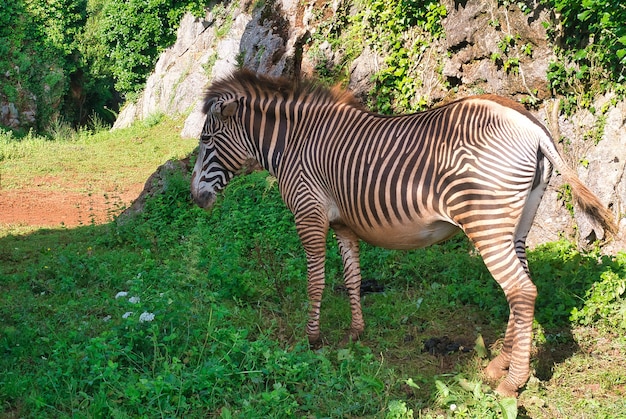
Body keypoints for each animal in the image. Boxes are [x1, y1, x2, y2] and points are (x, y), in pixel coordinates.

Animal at [189, 69, 616, 398]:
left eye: (206, 142)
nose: (195, 199)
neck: (293, 143)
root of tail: (528, 122)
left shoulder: (309, 213)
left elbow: (315, 281)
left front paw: (312, 340)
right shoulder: (343, 223)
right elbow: (352, 277)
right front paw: (355, 333)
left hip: (486, 222)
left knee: (521, 291)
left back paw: (512, 382)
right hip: (518, 224)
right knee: (524, 288)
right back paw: (499, 364)